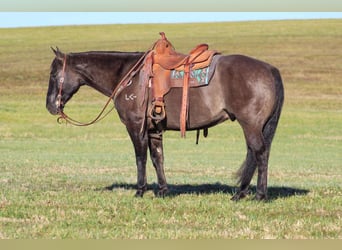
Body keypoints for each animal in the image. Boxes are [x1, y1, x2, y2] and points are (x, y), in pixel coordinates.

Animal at [46, 42, 284, 201]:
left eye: (53, 75)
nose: (50, 106)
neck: (128, 76)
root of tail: (270, 69)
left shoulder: (135, 127)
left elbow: (140, 158)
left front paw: (140, 190)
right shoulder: (154, 129)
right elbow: (157, 157)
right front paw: (162, 190)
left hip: (250, 124)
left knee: (260, 153)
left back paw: (259, 195)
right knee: (254, 154)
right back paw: (240, 194)